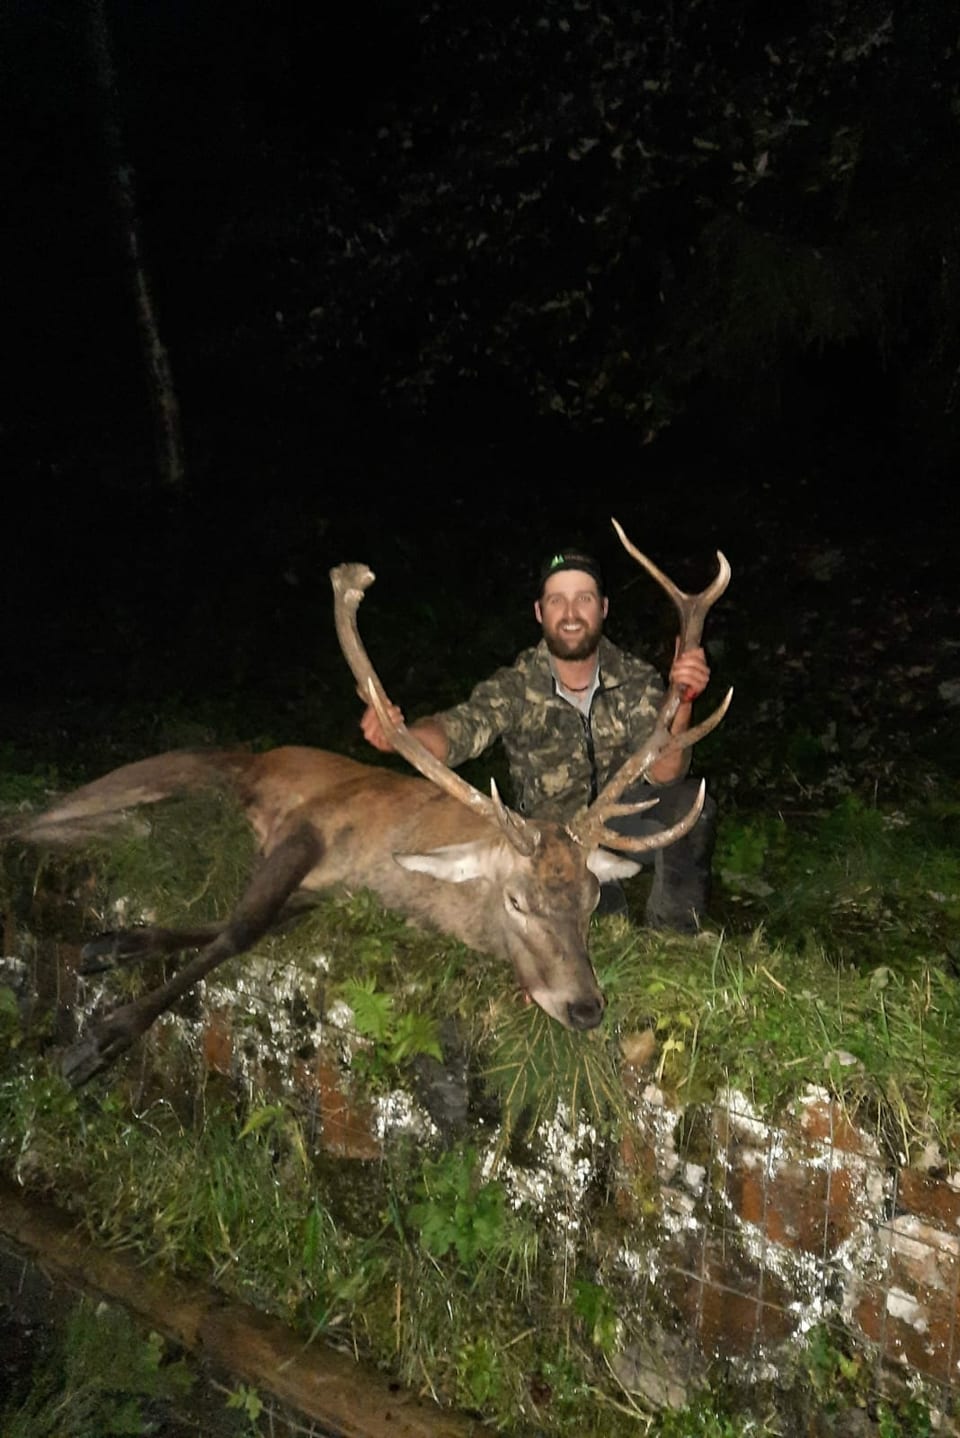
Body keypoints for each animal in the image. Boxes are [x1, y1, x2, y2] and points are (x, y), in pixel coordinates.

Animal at [3, 517, 730, 1081]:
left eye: (588, 899)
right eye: (517, 901)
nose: (585, 1007)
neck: (392, 871)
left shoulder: (325, 892)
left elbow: (243, 922)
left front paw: (114, 944)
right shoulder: (308, 826)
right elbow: (240, 929)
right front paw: (99, 1040)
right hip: (166, 773)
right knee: (33, 818)